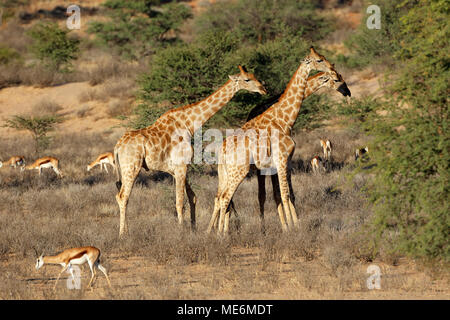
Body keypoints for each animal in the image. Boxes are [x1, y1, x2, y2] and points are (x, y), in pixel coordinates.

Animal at [114, 65, 266, 238]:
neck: (189, 123)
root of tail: (117, 147)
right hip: (131, 167)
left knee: (122, 196)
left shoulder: (178, 169)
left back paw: (125, 231)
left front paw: (193, 228)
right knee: (123, 196)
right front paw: (181, 231)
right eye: (247, 79)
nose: (263, 89)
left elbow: (192, 197)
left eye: (255, 76)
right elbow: (180, 202)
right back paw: (122, 234)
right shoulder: (180, 166)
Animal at [207, 47, 352, 235]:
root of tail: (222, 149)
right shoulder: (281, 161)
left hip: (226, 172)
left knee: (220, 198)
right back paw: (222, 235)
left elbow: (286, 194)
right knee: (226, 198)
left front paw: (291, 225)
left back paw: (214, 232)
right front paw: (292, 228)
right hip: (239, 171)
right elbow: (284, 194)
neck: (284, 119)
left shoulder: (282, 163)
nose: (348, 92)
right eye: (336, 78)